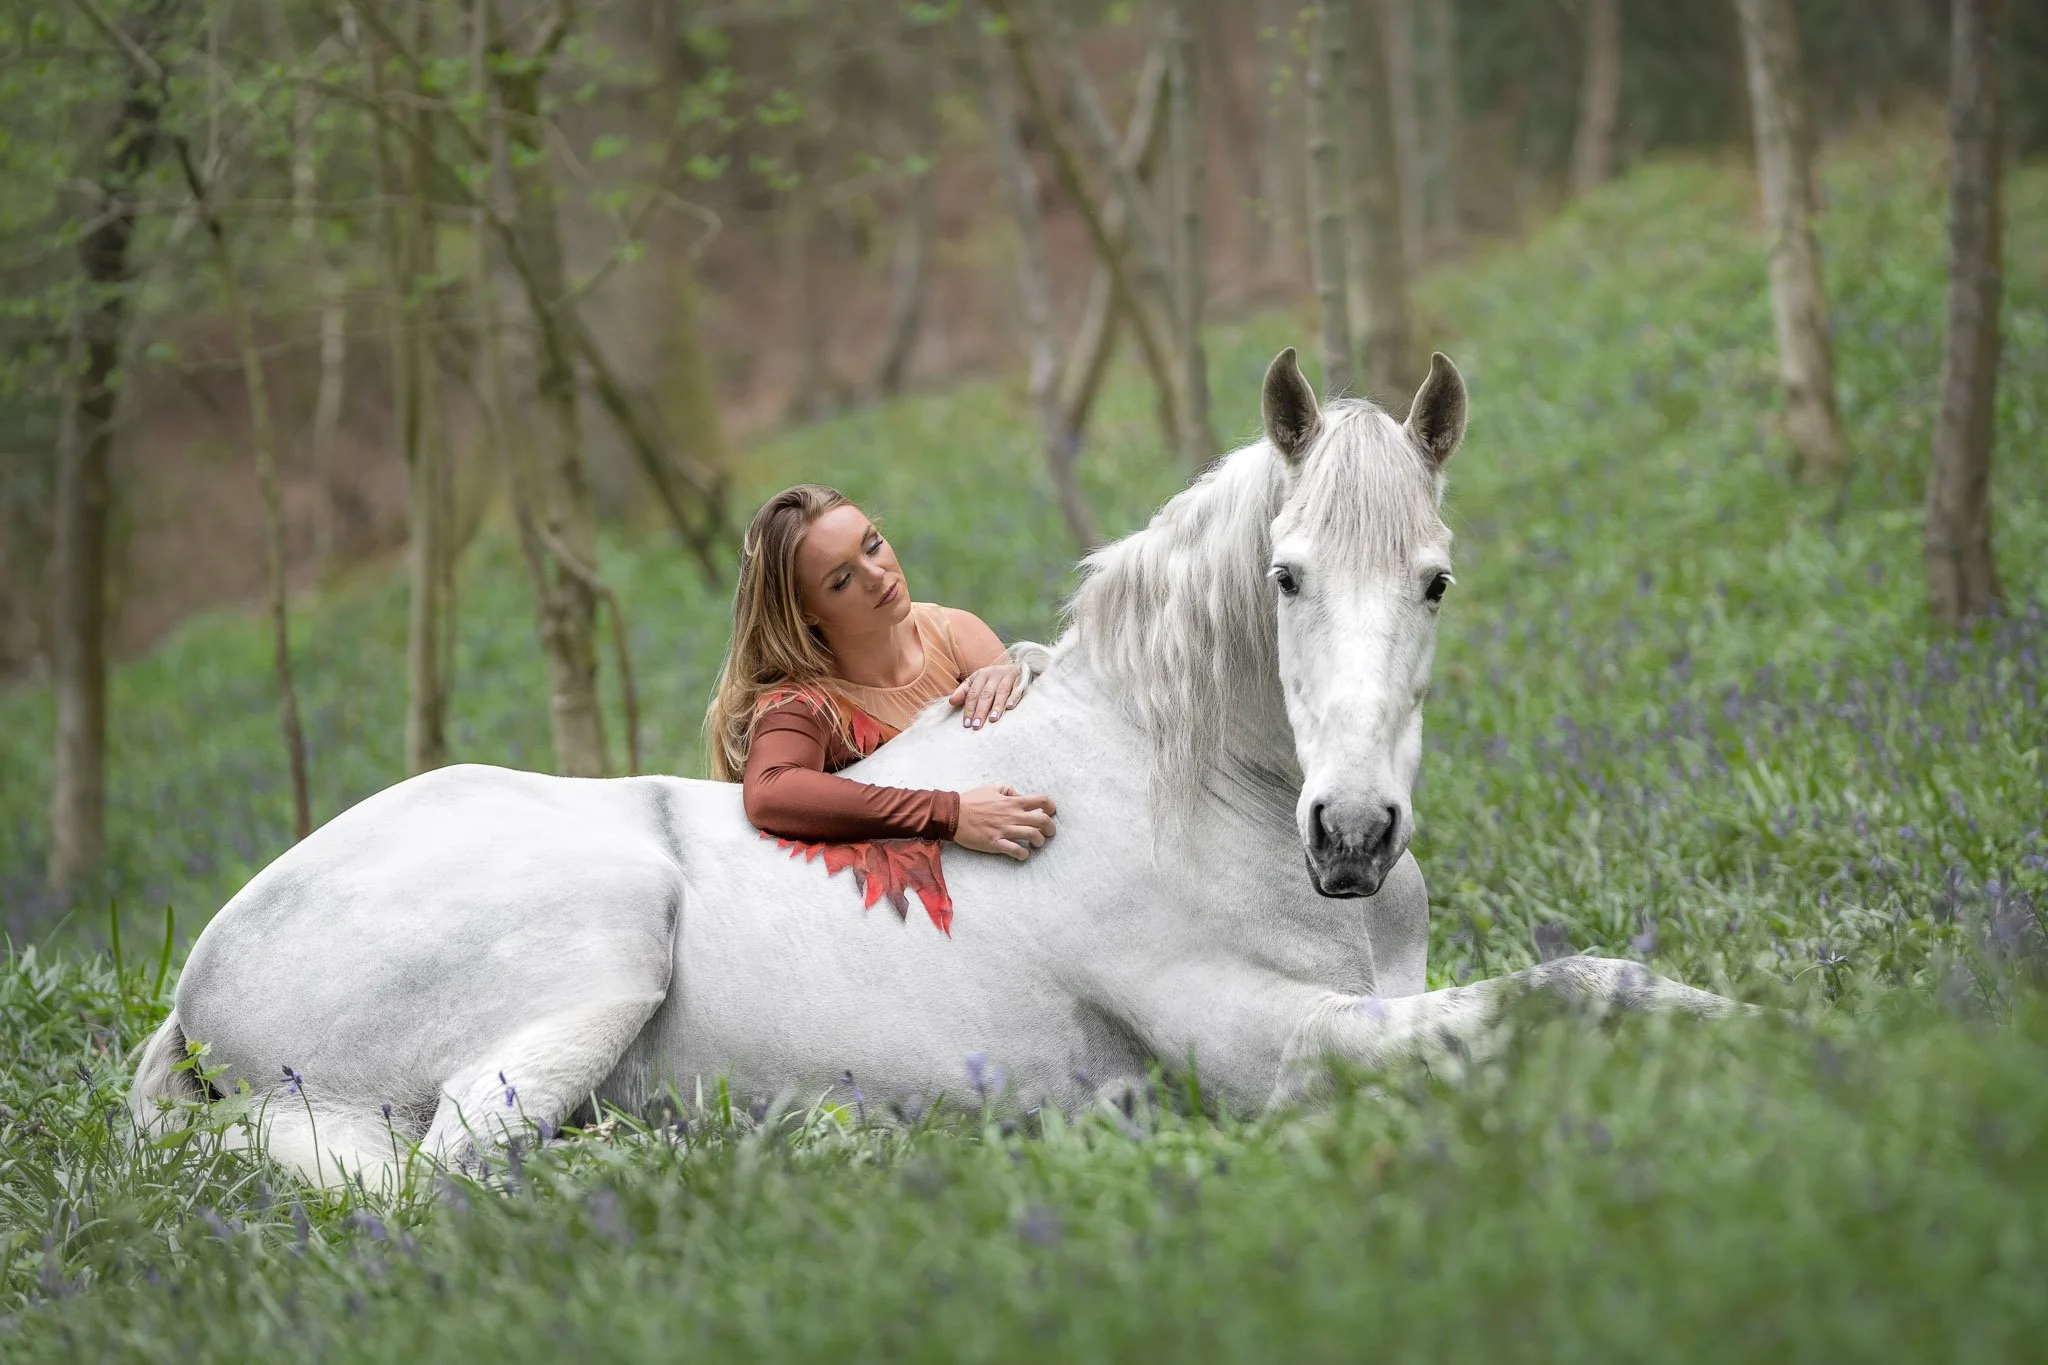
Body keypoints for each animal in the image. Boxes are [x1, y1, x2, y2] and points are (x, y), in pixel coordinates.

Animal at [130, 348, 1741, 1186]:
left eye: (1435, 581)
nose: (1350, 834)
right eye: (1284, 577)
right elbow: (1558, 996)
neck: (1176, 790)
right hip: (598, 956)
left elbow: (1602, 978)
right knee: (457, 1176)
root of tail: (199, 979)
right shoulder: (1264, 1046)